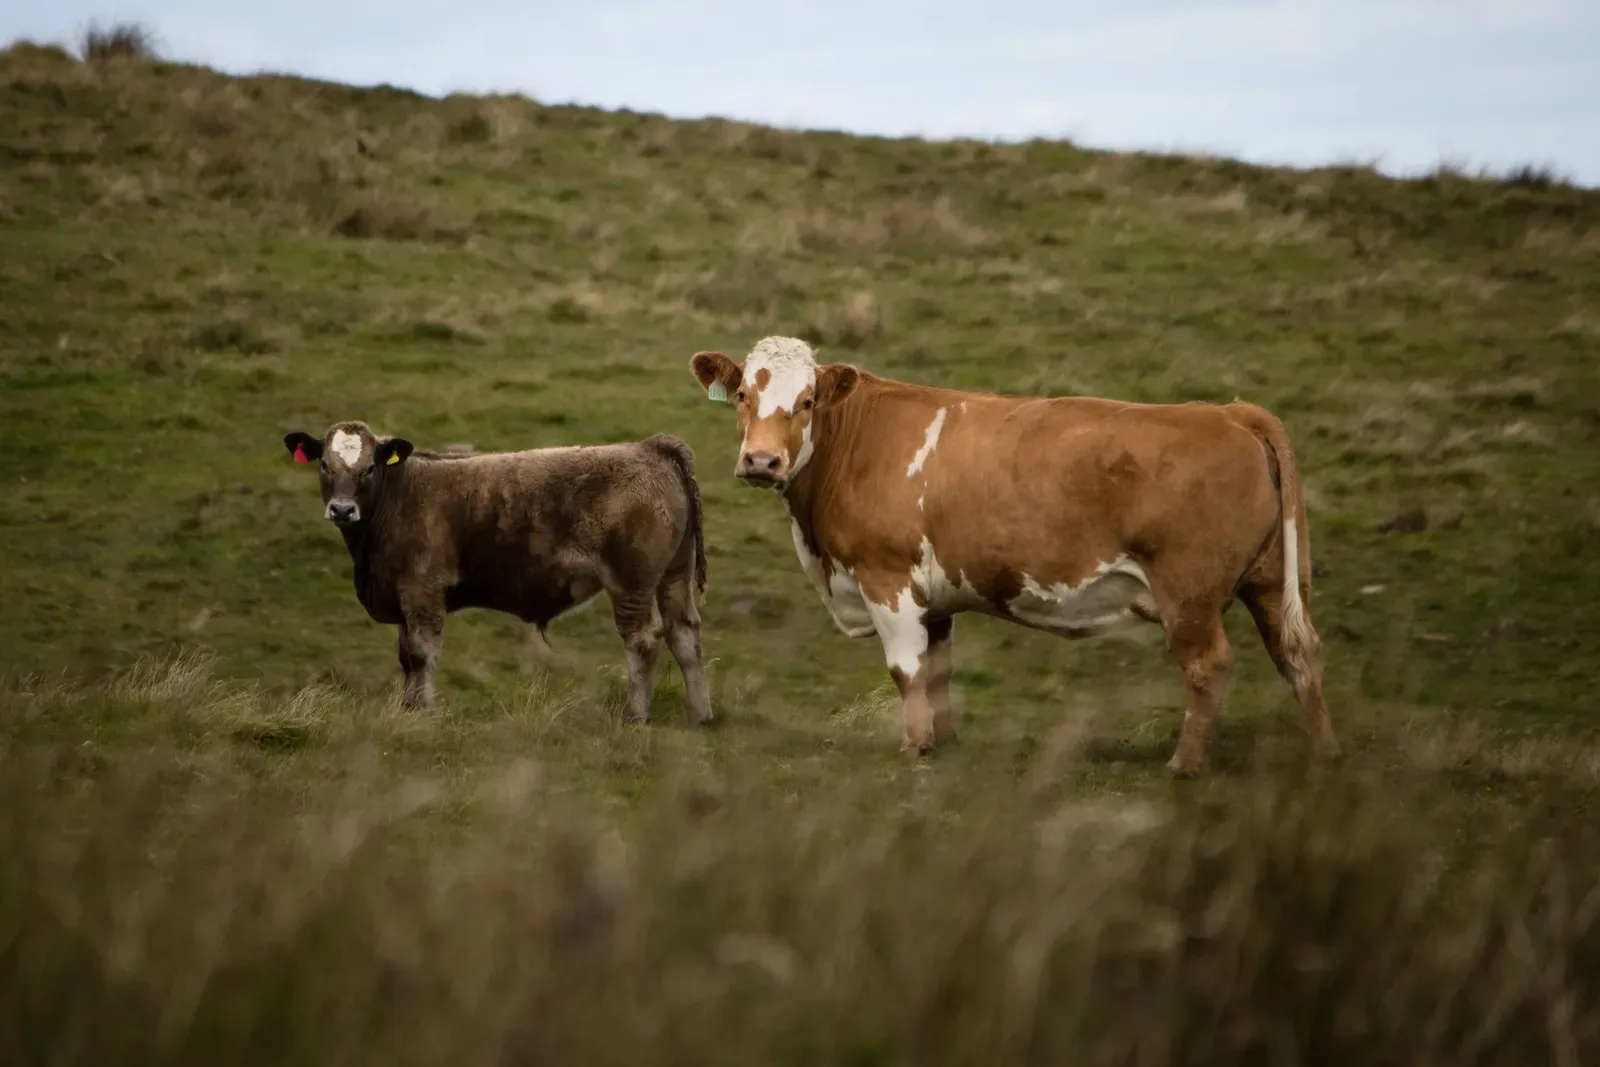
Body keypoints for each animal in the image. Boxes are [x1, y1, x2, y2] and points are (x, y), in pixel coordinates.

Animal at [280, 420, 713, 726]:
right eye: (324, 464)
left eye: (369, 467)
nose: (342, 509)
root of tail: (650, 446)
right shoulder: (404, 596)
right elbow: (405, 657)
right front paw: (407, 708)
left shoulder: (423, 590)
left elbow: (421, 653)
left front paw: (423, 713)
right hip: (674, 575)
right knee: (684, 634)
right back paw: (700, 716)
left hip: (631, 582)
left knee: (643, 639)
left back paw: (635, 716)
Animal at [688, 336, 1338, 776]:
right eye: (743, 394)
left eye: (806, 401)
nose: (762, 461)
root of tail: (1230, 411)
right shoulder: (935, 595)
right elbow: (938, 670)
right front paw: (943, 744)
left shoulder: (887, 578)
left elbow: (906, 670)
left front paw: (912, 749)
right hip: (1270, 584)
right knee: (1298, 655)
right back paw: (1320, 753)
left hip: (1190, 593)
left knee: (1210, 668)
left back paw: (1184, 765)